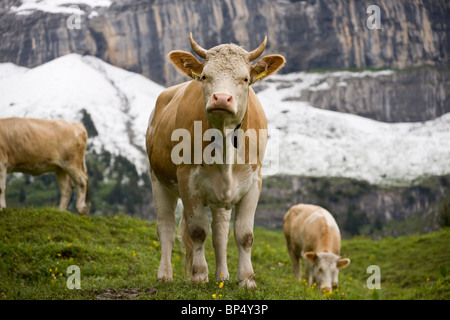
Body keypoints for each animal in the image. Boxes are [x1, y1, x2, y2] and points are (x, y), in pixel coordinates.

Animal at [145, 33, 284, 288]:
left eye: (245, 78)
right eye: (205, 76)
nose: (221, 98)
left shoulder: (253, 182)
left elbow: (244, 235)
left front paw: (246, 279)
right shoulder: (187, 180)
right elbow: (198, 231)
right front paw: (200, 275)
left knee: (220, 232)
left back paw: (222, 275)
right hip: (158, 180)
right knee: (166, 227)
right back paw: (165, 275)